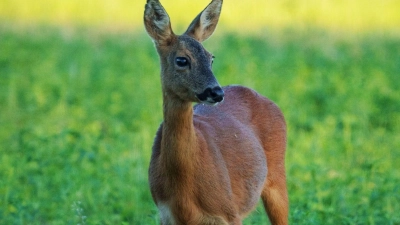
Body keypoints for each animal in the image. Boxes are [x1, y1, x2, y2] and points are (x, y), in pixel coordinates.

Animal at [145, 0, 290, 224]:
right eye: (182, 60)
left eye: (211, 58)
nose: (216, 92)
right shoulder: (165, 214)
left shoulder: (228, 211)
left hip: (276, 176)